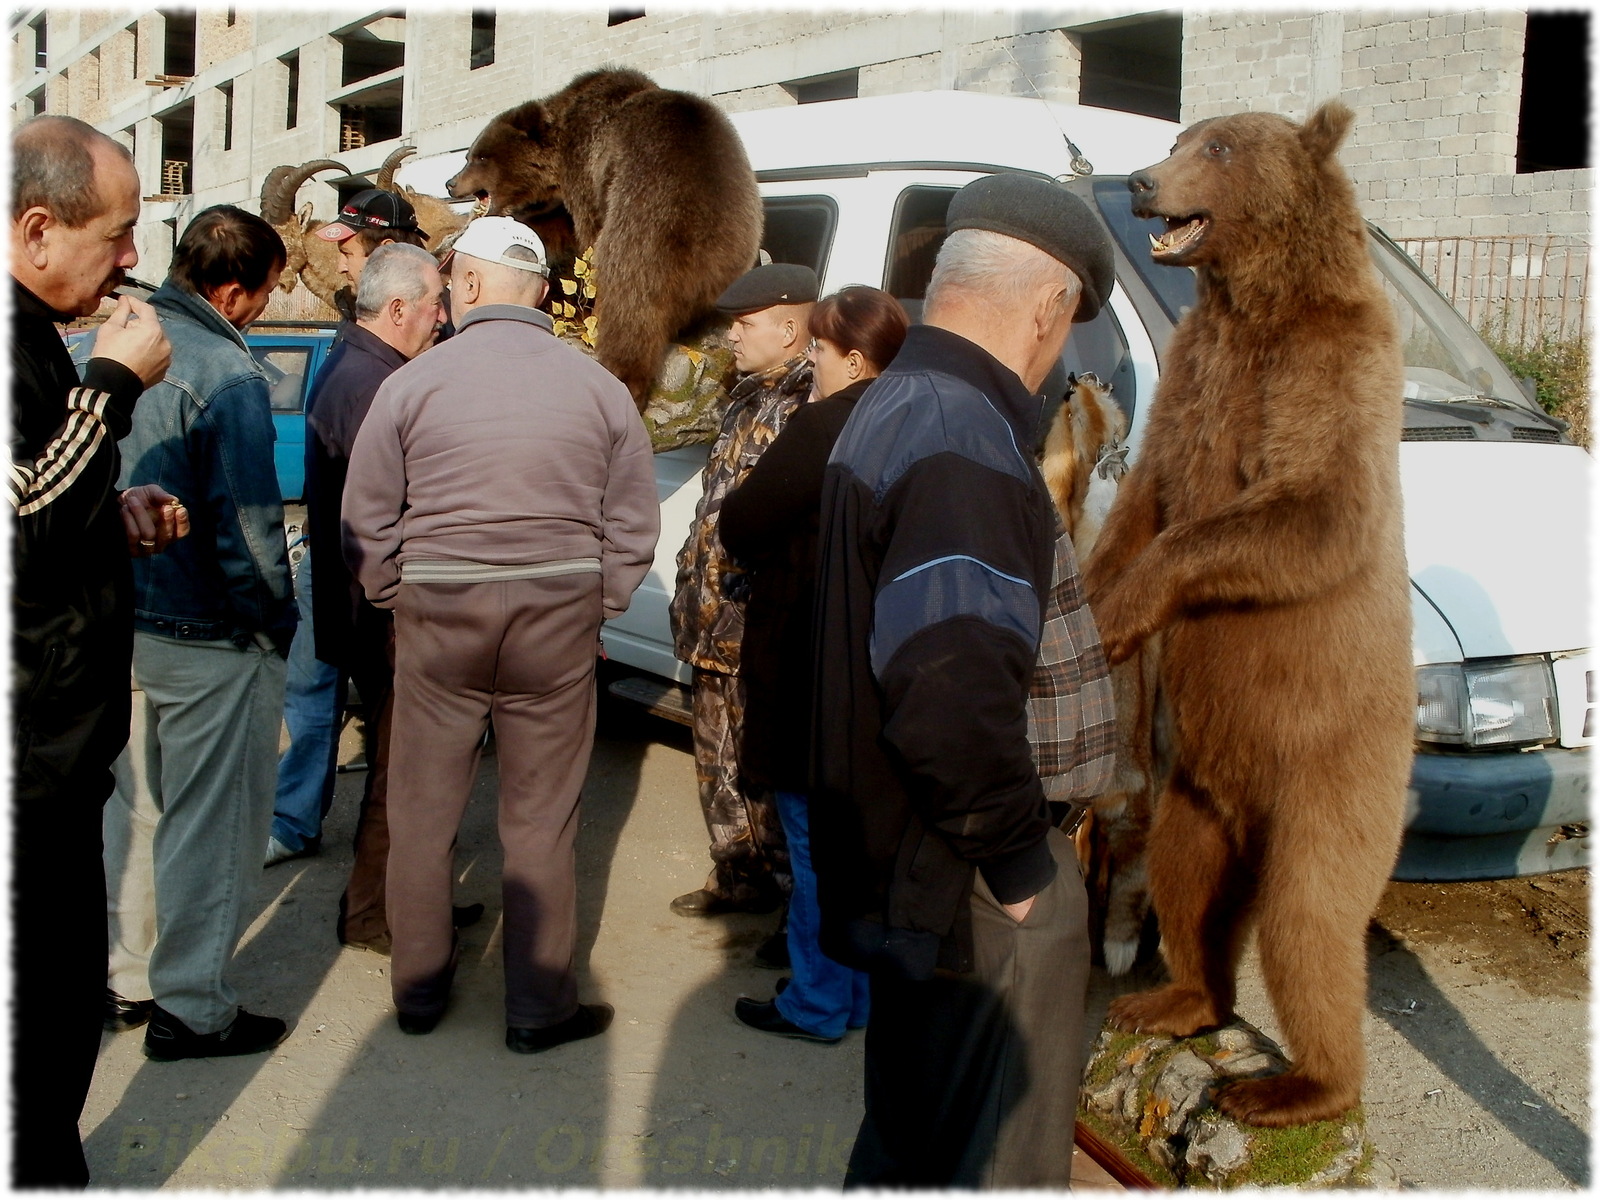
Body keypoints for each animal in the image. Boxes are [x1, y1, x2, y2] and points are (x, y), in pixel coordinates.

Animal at [444, 70, 761, 409]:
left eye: (480, 156)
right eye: (469, 155)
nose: (451, 182)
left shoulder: (589, 167)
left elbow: (587, 232)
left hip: (646, 229)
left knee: (630, 309)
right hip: (732, 256)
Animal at [1088, 101, 1414, 1126]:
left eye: (1219, 148)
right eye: (1181, 137)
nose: (1142, 181)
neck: (1252, 301)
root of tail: (1252, 817)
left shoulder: (1327, 367)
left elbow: (1304, 507)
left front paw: (1121, 610)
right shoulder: (1196, 376)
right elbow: (1150, 494)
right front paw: (1092, 599)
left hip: (1334, 774)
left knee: (1309, 924)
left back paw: (1296, 1088)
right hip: (1194, 786)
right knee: (1189, 883)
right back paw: (1171, 999)